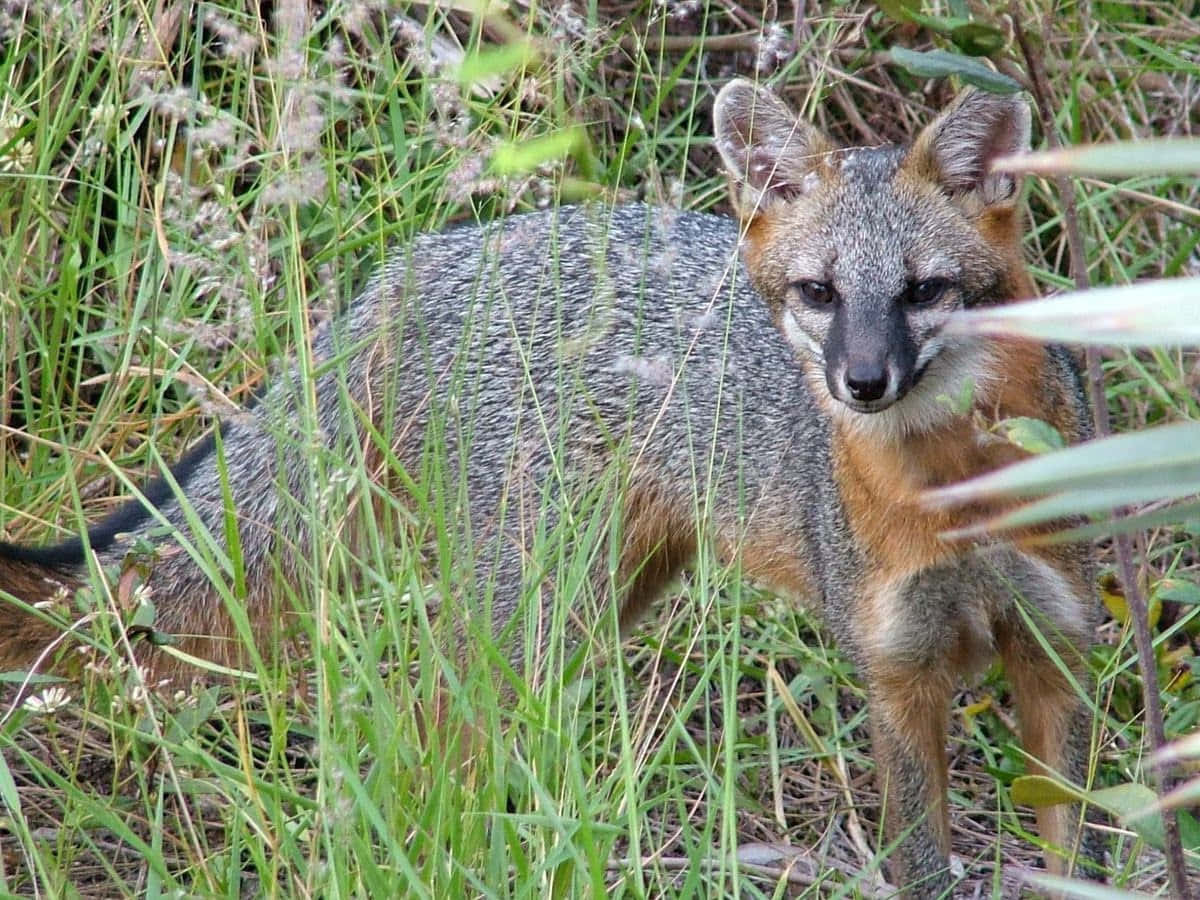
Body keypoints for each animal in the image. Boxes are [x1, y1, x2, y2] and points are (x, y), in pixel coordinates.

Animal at [0, 79, 1105, 894]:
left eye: (924, 292)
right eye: (819, 295)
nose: (862, 382)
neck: (958, 500)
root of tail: (423, 257)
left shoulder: (1057, 655)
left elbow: (1085, 846)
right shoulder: (897, 674)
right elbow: (920, 862)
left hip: (600, 600)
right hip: (531, 612)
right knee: (430, 739)